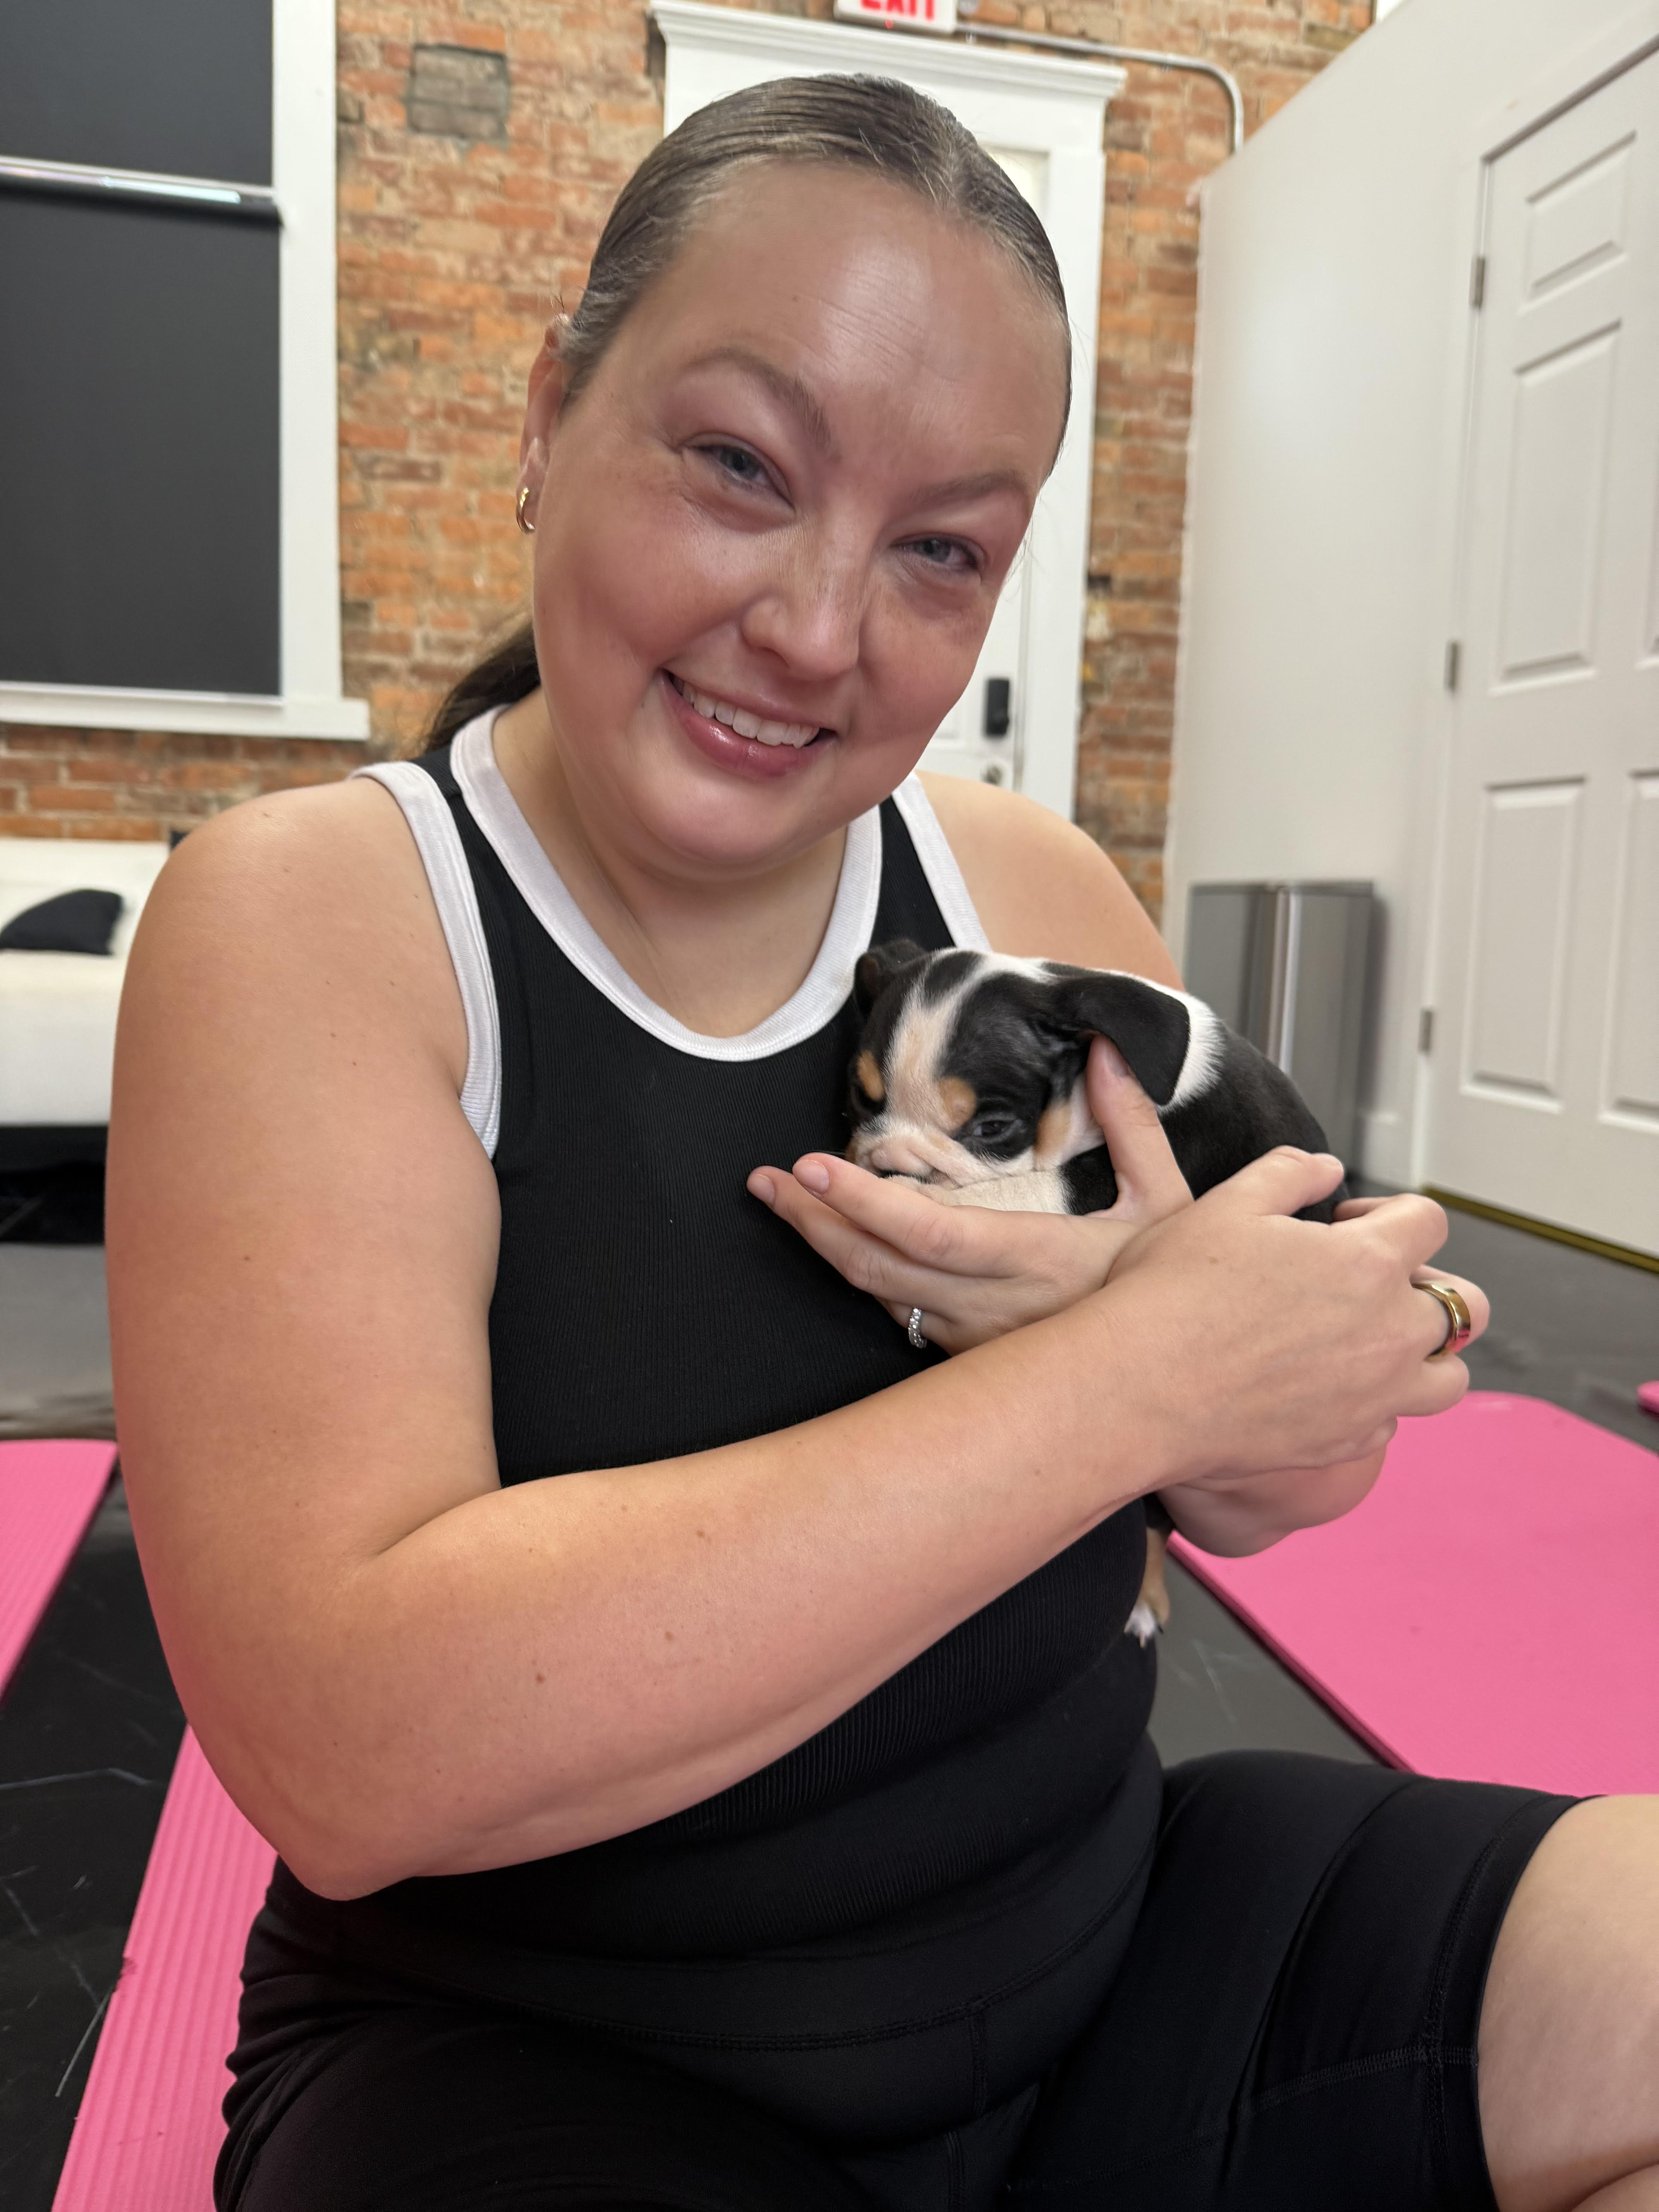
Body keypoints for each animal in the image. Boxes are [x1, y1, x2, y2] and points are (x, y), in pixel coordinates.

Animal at [845, 941, 1343, 1646]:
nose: (891, 1167)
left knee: (1158, 1525)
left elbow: (1029, 1187)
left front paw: (928, 1195)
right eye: (860, 1100)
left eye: (993, 1126)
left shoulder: (1097, 1180)